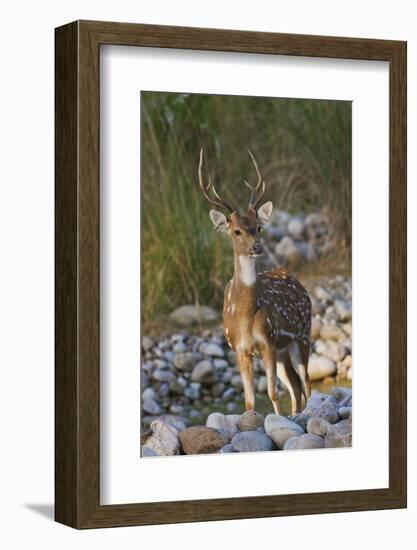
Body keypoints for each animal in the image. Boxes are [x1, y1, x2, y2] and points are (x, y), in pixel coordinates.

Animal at [197, 149, 310, 416]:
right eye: (236, 231)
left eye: (259, 227)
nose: (256, 247)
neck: (245, 316)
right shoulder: (240, 350)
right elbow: (249, 401)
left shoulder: (268, 341)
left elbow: (272, 393)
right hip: (283, 350)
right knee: (295, 387)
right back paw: (296, 415)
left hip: (302, 335)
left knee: (306, 383)